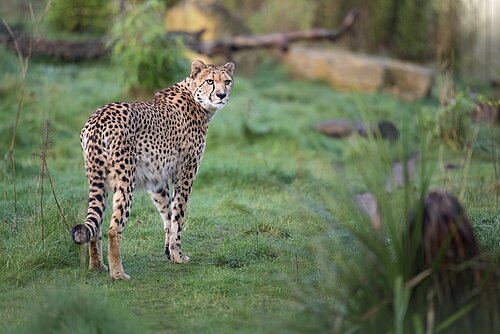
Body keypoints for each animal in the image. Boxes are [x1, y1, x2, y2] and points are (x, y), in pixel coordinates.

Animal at [71, 60, 235, 280]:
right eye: (210, 81)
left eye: (227, 81)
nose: (221, 95)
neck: (196, 99)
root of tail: (98, 118)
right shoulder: (185, 174)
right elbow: (178, 215)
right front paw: (178, 255)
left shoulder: (155, 181)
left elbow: (168, 214)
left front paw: (169, 252)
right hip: (125, 181)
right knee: (113, 228)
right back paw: (118, 274)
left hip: (99, 179)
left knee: (96, 225)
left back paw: (97, 266)